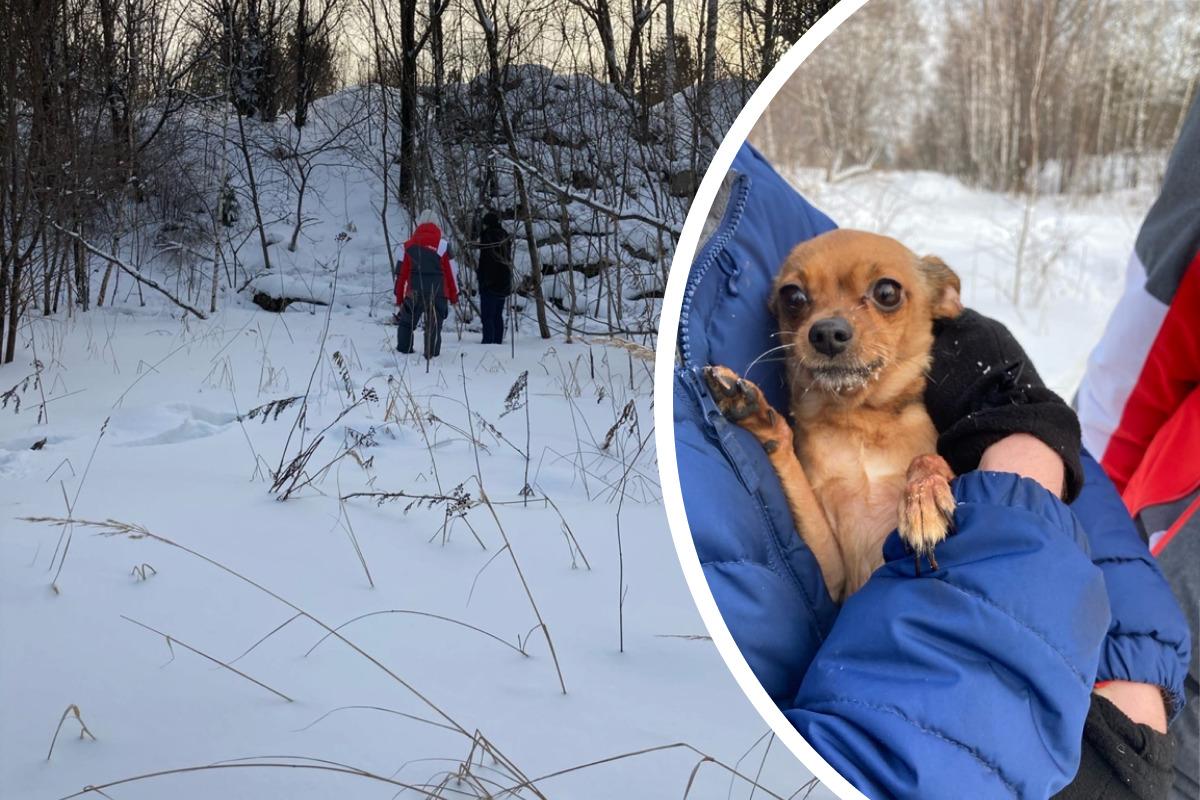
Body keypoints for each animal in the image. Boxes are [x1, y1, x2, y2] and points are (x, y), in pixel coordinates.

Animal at [700, 226, 964, 599]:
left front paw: (923, 498)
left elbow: (928, 459)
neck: (860, 418)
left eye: (887, 292)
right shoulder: (831, 578)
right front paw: (760, 415)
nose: (825, 332)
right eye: (793, 296)